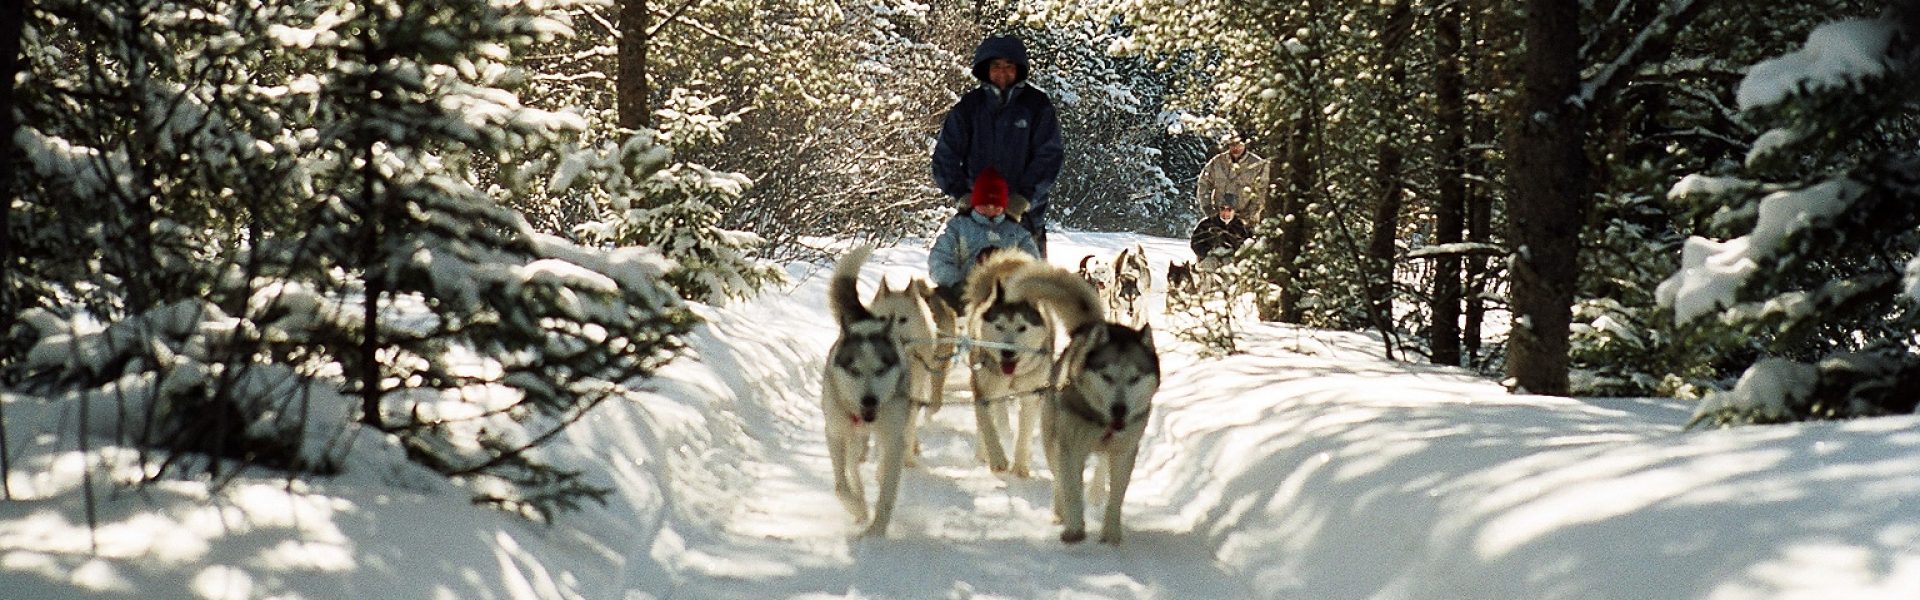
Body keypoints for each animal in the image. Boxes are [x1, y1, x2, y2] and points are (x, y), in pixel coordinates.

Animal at [821, 246, 910, 538]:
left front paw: (876, 532)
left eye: (881, 370)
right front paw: (858, 508)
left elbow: (887, 493)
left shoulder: (893, 438)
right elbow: (841, 485)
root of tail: (866, 320)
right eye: (855, 371)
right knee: (852, 466)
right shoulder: (836, 434)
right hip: (851, 438)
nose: (869, 400)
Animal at [1006, 261, 1152, 542]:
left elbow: (1116, 496)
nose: (1120, 409)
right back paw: (1059, 512)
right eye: (1106, 376)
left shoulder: (1124, 452)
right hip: (1054, 439)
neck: (1102, 423)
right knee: (1059, 478)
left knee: (1100, 472)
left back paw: (1095, 492)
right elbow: (1071, 489)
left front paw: (1111, 534)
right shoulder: (1070, 449)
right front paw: (1074, 529)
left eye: (1135, 378)